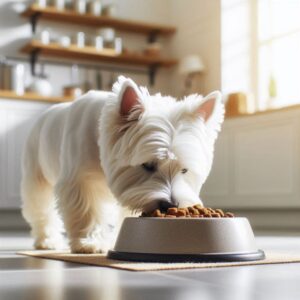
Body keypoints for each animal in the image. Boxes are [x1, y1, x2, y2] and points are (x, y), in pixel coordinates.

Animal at [21, 77, 224, 253]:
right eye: (147, 165)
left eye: (184, 170)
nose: (170, 205)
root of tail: (44, 115)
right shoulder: (80, 181)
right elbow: (86, 211)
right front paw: (89, 243)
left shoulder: (133, 190)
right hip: (36, 174)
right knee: (41, 208)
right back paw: (47, 241)